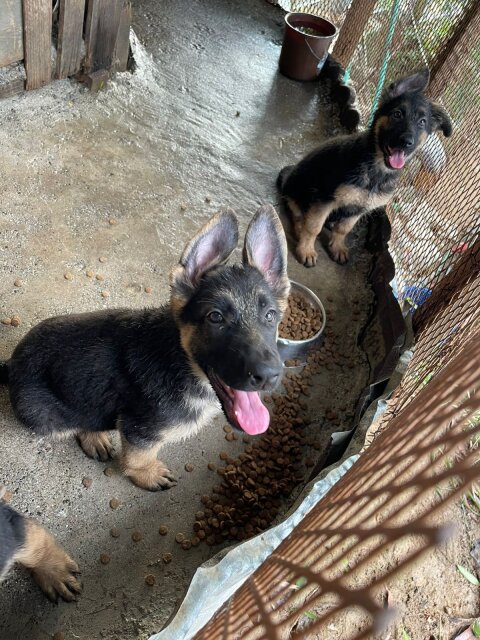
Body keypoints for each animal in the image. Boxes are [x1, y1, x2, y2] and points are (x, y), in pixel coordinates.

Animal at [0, 205, 288, 490]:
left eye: (270, 316)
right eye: (215, 317)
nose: (269, 376)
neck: (180, 360)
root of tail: (11, 364)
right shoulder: (141, 429)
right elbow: (140, 455)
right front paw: (146, 473)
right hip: (44, 417)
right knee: (78, 421)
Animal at [276, 70, 452, 268]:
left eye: (422, 122)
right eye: (397, 114)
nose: (406, 142)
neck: (377, 171)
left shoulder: (358, 209)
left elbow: (343, 229)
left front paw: (337, 247)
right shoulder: (324, 200)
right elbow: (313, 227)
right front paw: (306, 250)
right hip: (296, 191)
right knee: (298, 214)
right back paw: (300, 228)